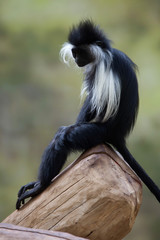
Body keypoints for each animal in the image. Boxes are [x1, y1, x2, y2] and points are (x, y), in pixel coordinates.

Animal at [15, 19, 160, 209]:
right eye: (74, 52)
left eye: (81, 52)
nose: (76, 59)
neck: (103, 54)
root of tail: (118, 135)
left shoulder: (103, 69)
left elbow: (96, 104)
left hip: (97, 132)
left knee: (63, 138)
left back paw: (40, 185)